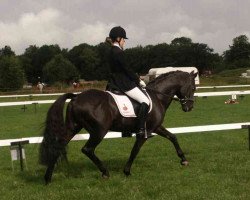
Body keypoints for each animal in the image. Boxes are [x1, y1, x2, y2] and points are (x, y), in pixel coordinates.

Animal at [39, 70, 197, 184]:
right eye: (193, 87)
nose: (189, 107)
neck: (157, 97)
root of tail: (76, 97)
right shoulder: (145, 132)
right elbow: (135, 150)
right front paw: (127, 171)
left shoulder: (156, 127)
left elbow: (173, 137)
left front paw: (183, 160)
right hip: (99, 131)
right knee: (87, 149)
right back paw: (105, 173)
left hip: (74, 127)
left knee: (58, 146)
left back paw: (48, 178)